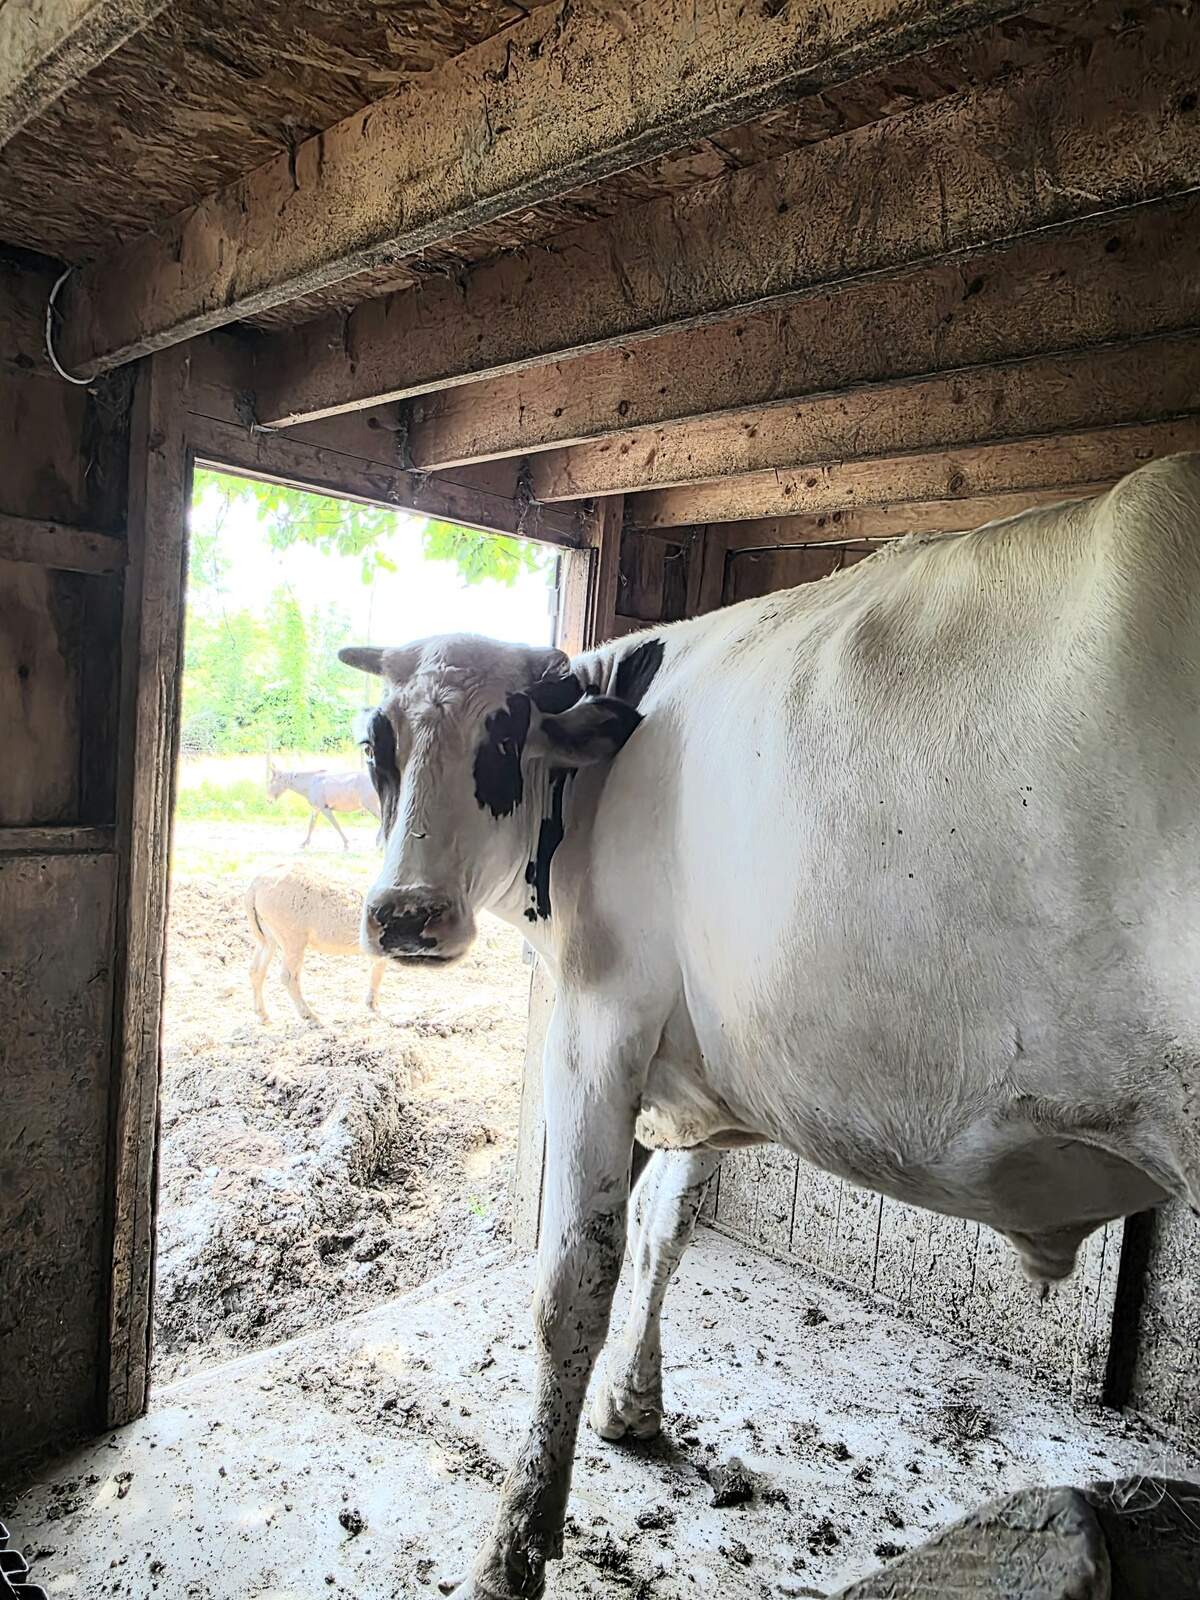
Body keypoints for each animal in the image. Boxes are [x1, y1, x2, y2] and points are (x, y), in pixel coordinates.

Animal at [338, 452, 1200, 1599]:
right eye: (375, 742)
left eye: (504, 735)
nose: (406, 914)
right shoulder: (703, 1053)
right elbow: (665, 1230)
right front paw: (633, 1408)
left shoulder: (598, 1025)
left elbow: (575, 1279)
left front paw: (513, 1548)